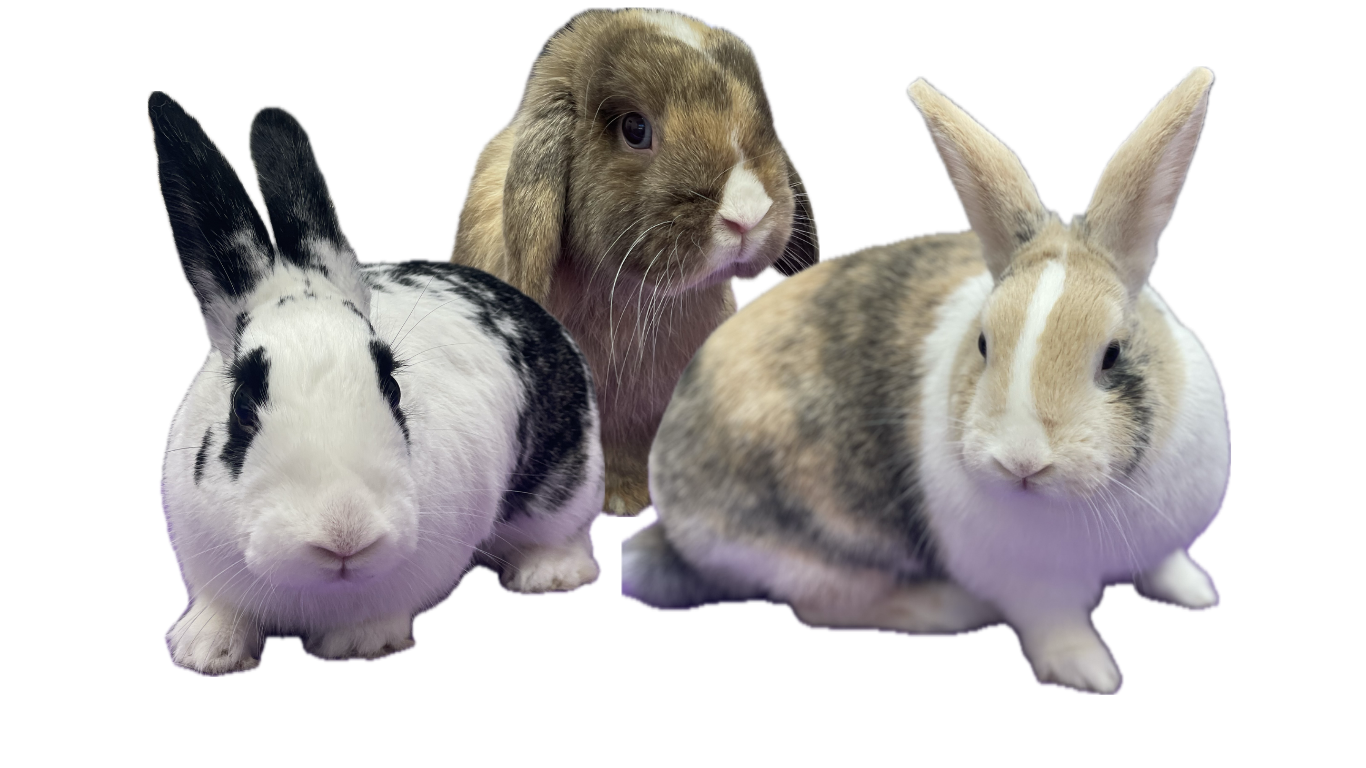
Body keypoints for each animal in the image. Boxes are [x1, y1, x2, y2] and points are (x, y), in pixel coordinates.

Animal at [149, 91, 605, 675]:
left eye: (392, 386)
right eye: (242, 404)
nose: (345, 532)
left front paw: (356, 647)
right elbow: (221, 611)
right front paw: (208, 653)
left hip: (569, 482)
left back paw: (545, 575)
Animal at [622, 67, 1227, 694]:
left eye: (1111, 355)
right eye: (983, 343)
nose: (1022, 462)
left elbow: (1162, 563)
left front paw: (1196, 591)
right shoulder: (1027, 585)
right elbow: (1053, 620)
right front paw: (1089, 671)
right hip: (814, 545)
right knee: (822, 605)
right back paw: (945, 610)